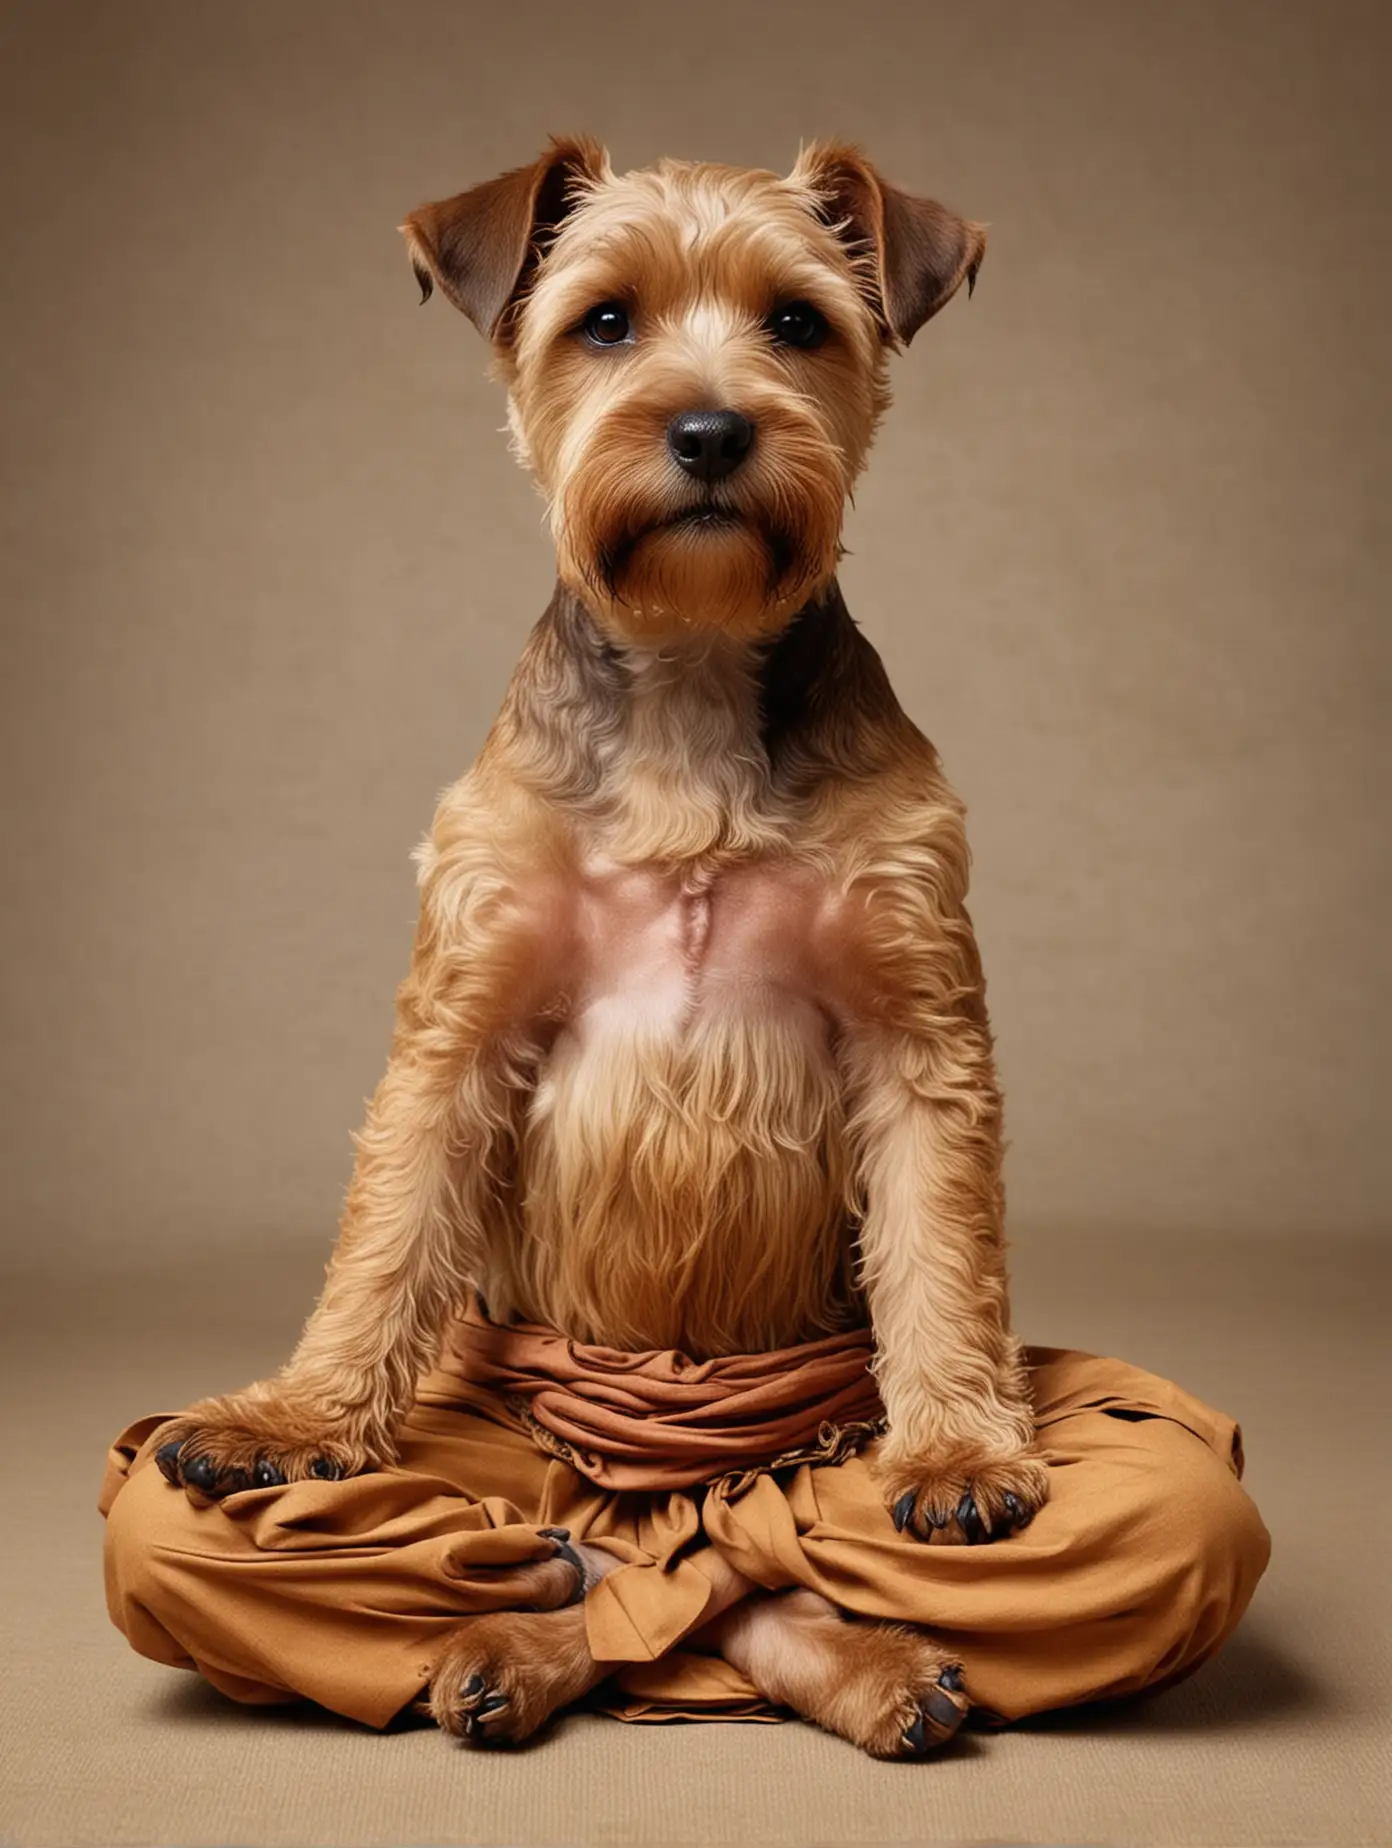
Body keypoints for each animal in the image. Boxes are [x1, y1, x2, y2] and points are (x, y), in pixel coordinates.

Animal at [151, 136, 1042, 1751]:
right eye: (606, 321)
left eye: (799, 322)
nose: (709, 432)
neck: (691, 669)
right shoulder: (455, 1032)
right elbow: (381, 1245)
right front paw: (298, 1419)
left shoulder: (919, 1031)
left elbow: (945, 1257)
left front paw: (956, 1449)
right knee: (617, 1568)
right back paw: (514, 1647)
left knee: (729, 1567)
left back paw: (872, 1668)